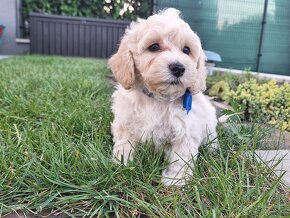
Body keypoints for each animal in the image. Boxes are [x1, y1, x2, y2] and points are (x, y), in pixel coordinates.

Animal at [109, 8, 218, 186]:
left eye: (186, 50)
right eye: (154, 47)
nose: (178, 68)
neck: (158, 99)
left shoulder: (185, 132)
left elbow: (181, 158)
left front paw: (176, 181)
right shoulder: (126, 124)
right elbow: (124, 144)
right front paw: (122, 164)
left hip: (209, 128)